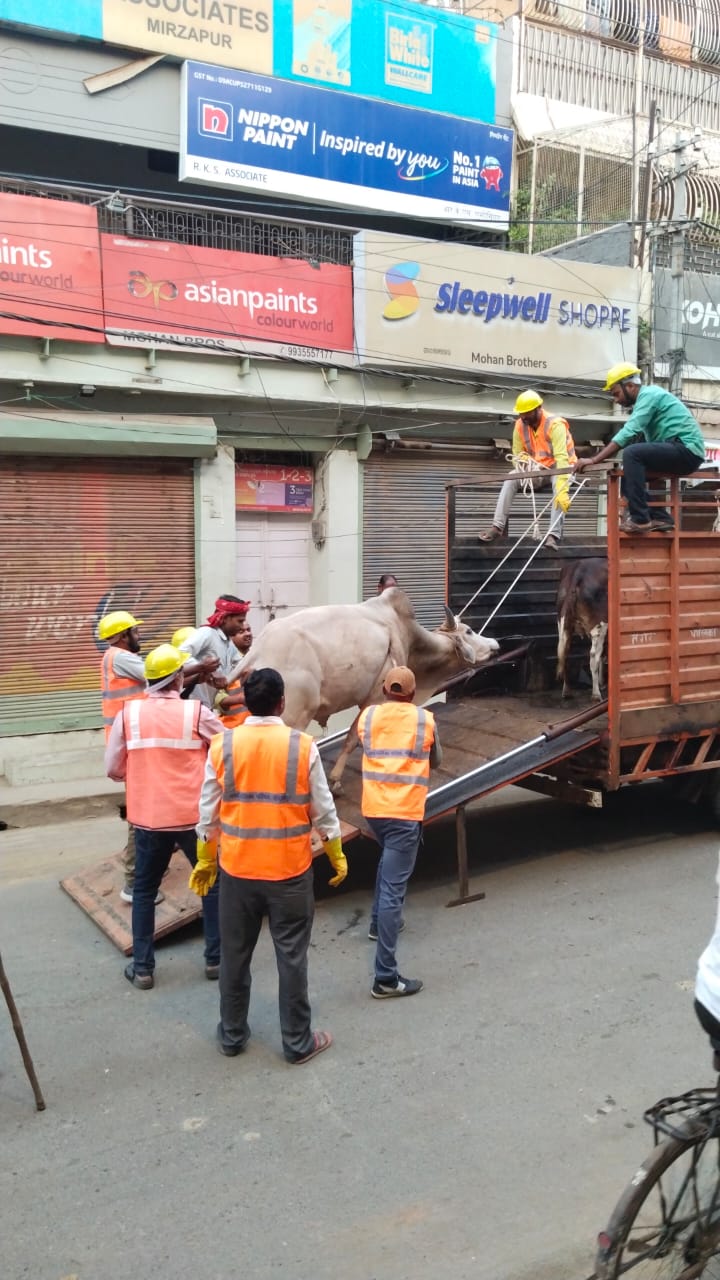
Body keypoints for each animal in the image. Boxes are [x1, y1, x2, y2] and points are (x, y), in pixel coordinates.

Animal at [226, 588, 497, 788]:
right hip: (293, 716)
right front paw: (335, 779)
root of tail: (257, 652)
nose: (495, 643)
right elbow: (352, 738)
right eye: (470, 631)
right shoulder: (375, 697)